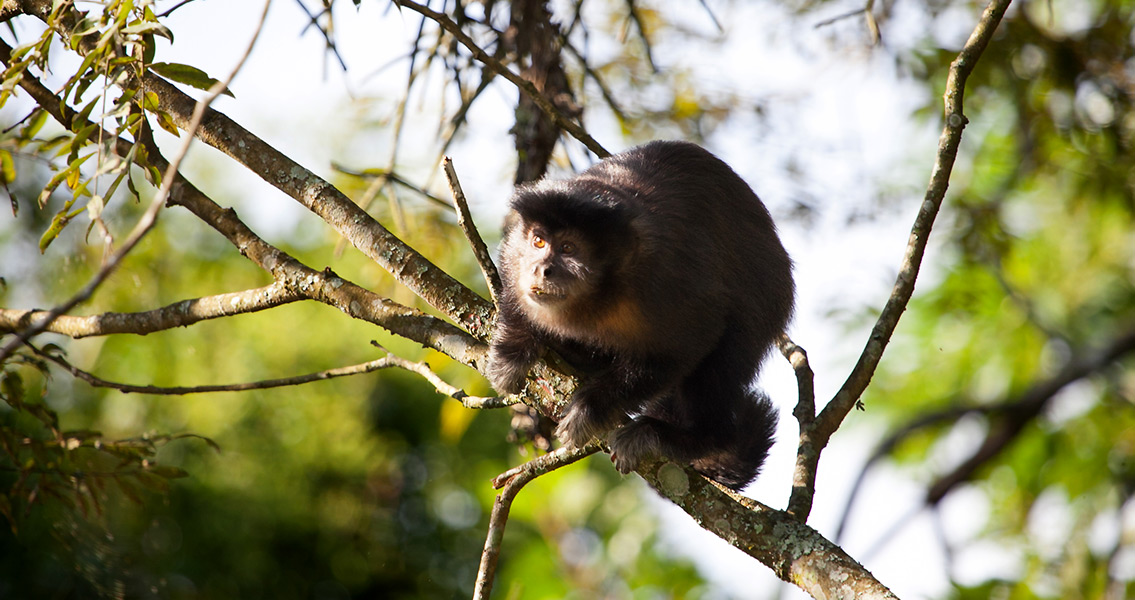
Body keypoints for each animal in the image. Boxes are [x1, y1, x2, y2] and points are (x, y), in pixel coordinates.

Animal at [488, 140, 799, 492]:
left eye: (568, 248)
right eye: (538, 241)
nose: (542, 269)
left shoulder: (663, 278)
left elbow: (693, 340)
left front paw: (592, 406)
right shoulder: (517, 251)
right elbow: (510, 274)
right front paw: (514, 346)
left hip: (770, 301)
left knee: (724, 357)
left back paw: (688, 437)